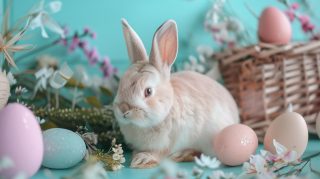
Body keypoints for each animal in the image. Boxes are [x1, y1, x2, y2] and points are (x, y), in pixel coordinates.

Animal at [113, 18, 240, 169]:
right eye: (121, 85)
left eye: (148, 91)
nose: (123, 109)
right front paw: (136, 156)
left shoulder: (169, 142)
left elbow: (159, 153)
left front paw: (142, 160)